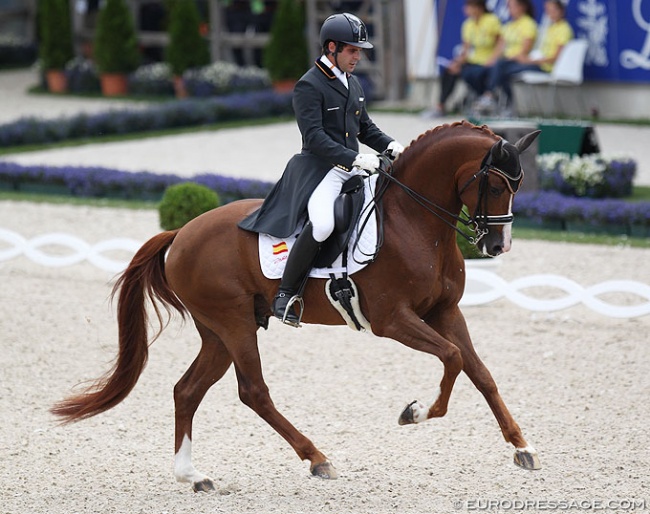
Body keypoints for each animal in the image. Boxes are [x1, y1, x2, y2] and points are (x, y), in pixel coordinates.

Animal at [50, 119, 540, 488]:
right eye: (497, 186)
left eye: (517, 186)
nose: (498, 246)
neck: (413, 222)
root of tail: (182, 232)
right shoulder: (392, 319)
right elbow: (453, 358)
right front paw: (414, 413)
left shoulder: (444, 311)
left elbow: (480, 372)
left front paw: (522, 446)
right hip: (233, 325)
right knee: (253, 391)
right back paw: (317, 458)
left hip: (220, 332)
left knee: (187, 390)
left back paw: (193, 476)